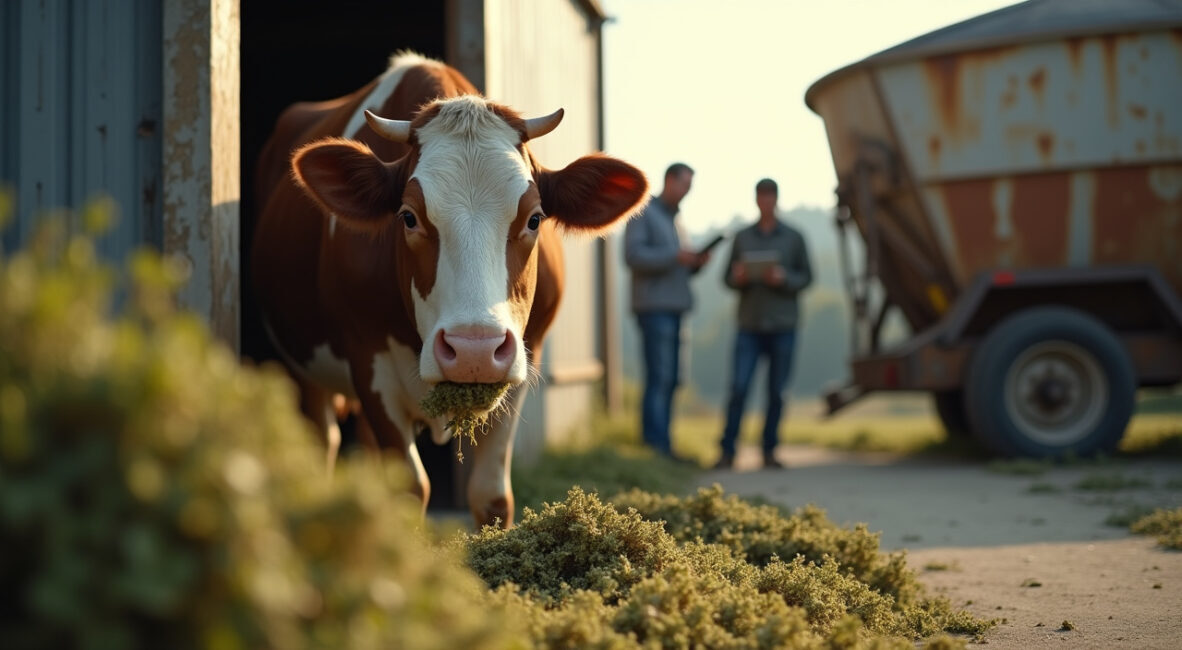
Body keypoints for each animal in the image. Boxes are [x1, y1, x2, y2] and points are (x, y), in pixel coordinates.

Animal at [249, 52, 648, 528]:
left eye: (534, 218)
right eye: (408, 216)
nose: (475, 350)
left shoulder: (522, 361)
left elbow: (491, 496)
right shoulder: (368, 360)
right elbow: (409, 489)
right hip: (305, 369)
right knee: (323, 439)